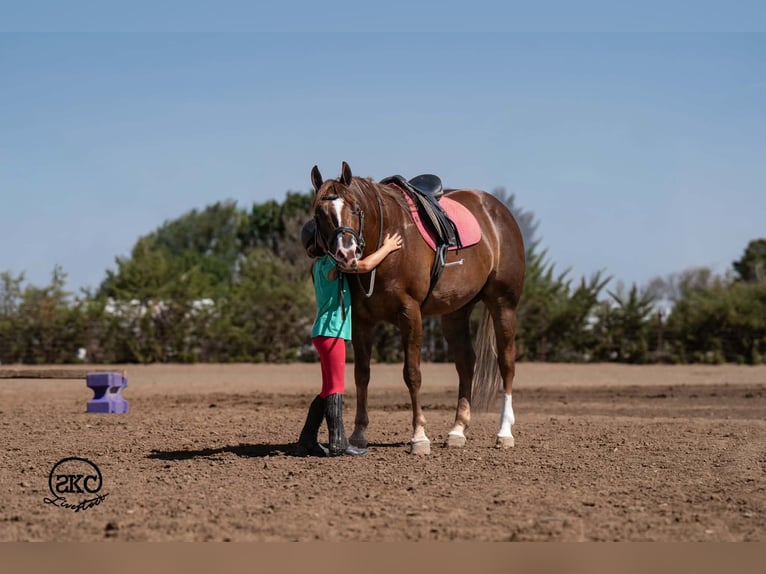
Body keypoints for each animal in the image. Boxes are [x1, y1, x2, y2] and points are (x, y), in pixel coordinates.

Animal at [309, 162, 525, 454]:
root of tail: (498, 210)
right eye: (319, 214)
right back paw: (457, 430)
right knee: (466, 363)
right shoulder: (363, 322)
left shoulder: (410, 314)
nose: (346, 253)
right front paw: (358, 434)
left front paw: (419, 436)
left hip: (503, 304)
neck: (386, 239)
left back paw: (504, 432)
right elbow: (361, 375)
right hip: (455, 313)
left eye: (355, 208)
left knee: (506, 364)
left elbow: (412, 374)